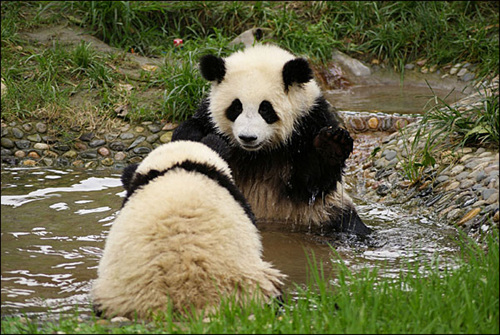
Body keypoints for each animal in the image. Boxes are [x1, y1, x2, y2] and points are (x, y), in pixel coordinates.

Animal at [172, 44, 372, 238]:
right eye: (236, 107)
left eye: (265, 109)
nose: (248, 137)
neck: (256, 154)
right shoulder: (207, 119)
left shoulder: (309, 122)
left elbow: (313, 183)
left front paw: (331, 144)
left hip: (327, 212)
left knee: (350, 225)